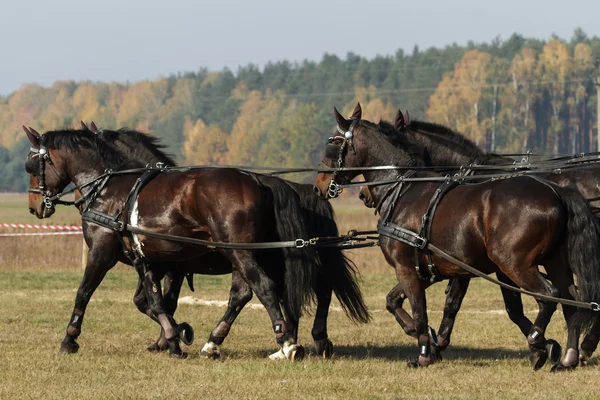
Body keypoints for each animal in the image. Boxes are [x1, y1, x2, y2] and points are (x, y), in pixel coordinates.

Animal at [24, 127, 328, 360]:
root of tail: (258, 181)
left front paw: (69, 339)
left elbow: (84, 294)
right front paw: (175, 335)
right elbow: (155, 302)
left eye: (32, 165)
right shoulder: (149, 260)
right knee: (243, 294)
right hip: (244, 255)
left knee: (266, 288)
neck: (107, 187)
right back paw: (214, 342)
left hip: (241, 253)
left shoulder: (102, 253)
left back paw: (287, 342)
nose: (34, 206)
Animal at [312, 105, 600, 368]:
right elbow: (398, 302)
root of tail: (556, 192)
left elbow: (422, 309)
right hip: (555, 263)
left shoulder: (409, 268)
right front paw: (430, 340)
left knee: (549, 296)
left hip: (515, 264)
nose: (319, 186)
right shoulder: (435, 269)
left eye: (333, 142)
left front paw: (425, 352)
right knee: (574, 300)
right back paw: (569, 356)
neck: (403, 188)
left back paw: (540, 341)